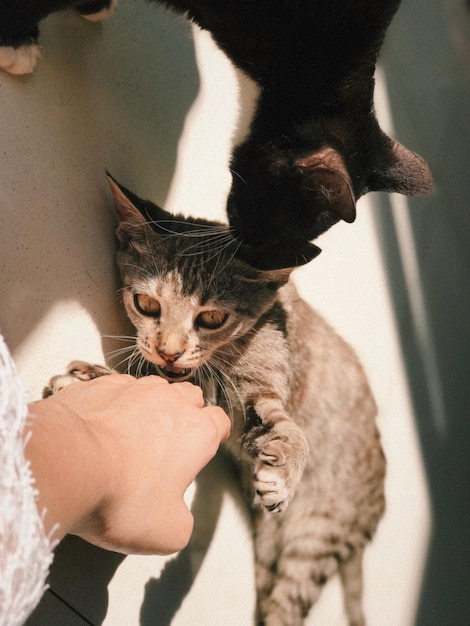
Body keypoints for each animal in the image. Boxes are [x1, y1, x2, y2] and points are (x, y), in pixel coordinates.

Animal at [50, 173, 386, 620]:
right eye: (147, 303)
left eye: (211, 317)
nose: (169, 351)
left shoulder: (262, 393)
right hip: (270, 547)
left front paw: (285, 470)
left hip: (316, 539)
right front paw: (89, 377)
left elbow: (291, 430)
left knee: (288, 608)